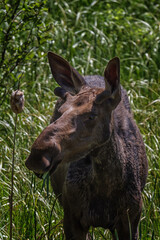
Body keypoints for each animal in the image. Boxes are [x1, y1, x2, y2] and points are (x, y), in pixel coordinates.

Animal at [25, 52, 148, 240]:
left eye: (91, 115)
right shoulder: (71, 218)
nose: (38, 155)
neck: (105, 188)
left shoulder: (131, 221)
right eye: (60, 112)